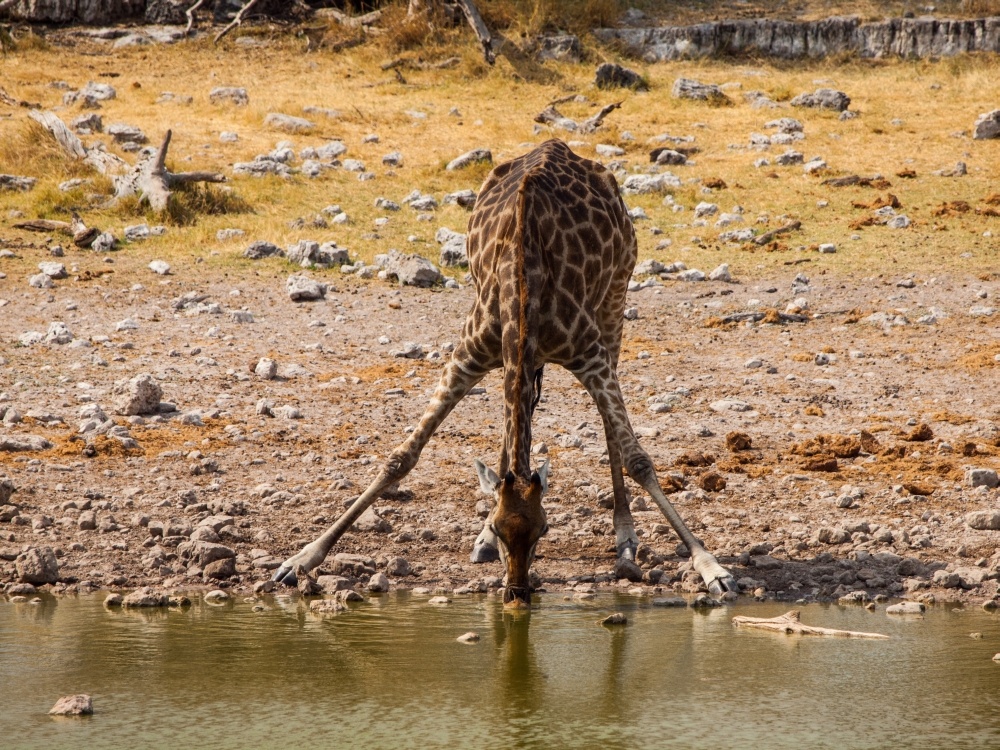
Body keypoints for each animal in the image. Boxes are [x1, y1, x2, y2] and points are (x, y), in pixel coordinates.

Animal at [272, 140, 736, 604]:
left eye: (545, 530)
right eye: (500, 527)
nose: (516, 592)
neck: (523, 289)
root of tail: (557, 144)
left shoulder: (590, 355)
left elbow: (638, 459)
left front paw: (712, 567)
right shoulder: (468, 354)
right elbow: (400, 458)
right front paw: (300, 560)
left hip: (615, 298)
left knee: (607, 430)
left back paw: (626, 540)